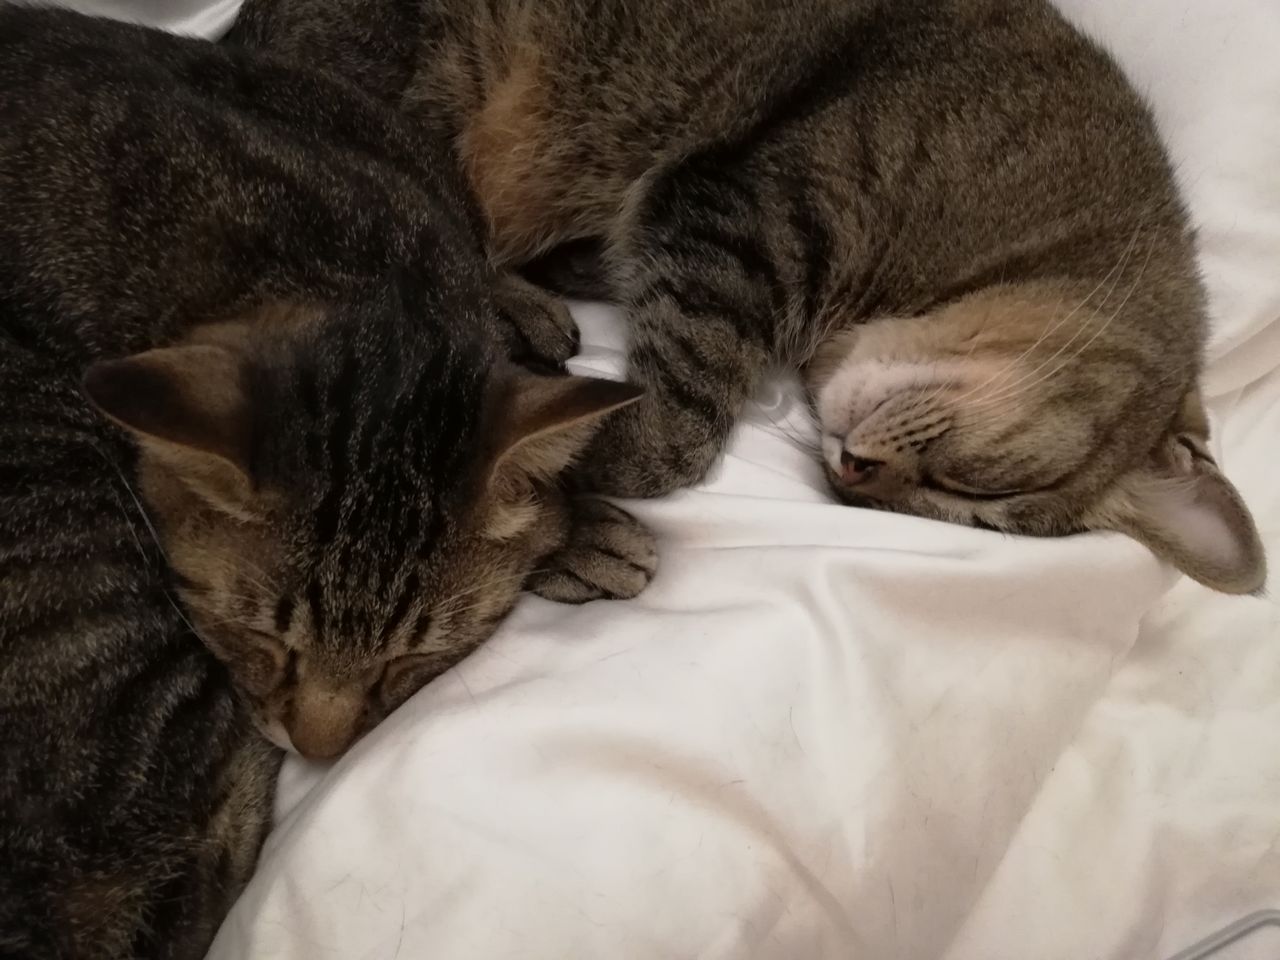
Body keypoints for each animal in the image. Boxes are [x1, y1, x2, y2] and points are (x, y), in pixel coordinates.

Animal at [228, 0, 1266, 595]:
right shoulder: (749, 211)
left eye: (945, 516)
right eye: (982, 491)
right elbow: (675, 431)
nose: (852, 475)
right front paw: (580, 461)